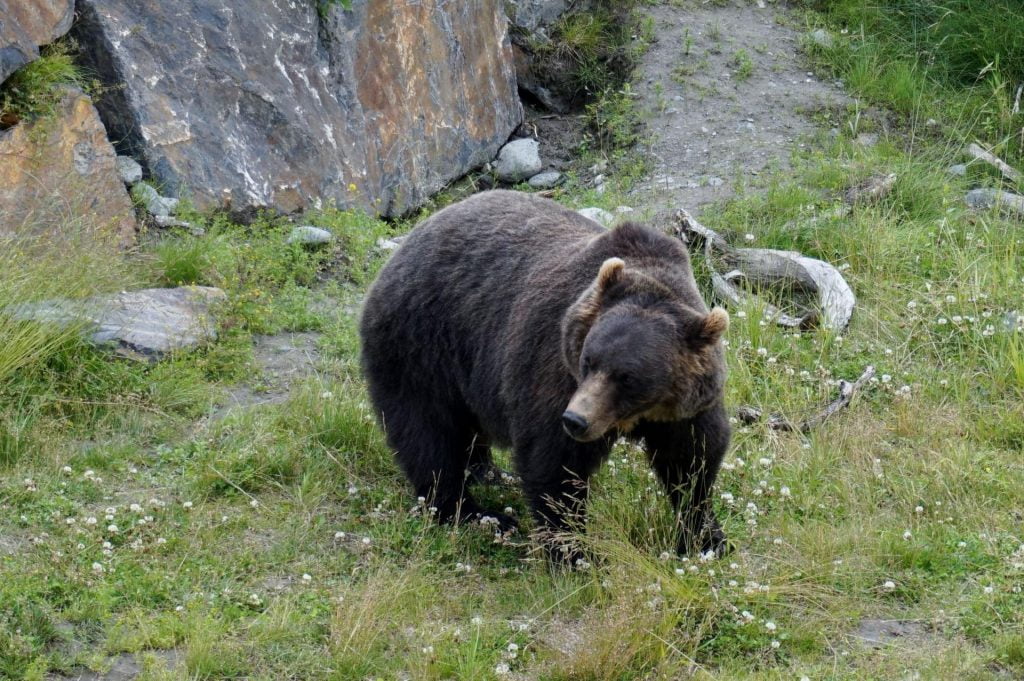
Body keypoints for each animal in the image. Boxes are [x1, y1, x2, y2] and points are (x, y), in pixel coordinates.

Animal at [360, 189, 729, 557]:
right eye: (589, 361)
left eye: (628, 377)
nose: (576, 420)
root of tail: (403, 248)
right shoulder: (553, 369)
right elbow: (554, 464)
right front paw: (573, 552)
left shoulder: (683, 407)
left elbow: (691, 460)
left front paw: (706, 537)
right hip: (421, 345)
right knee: (429, 433)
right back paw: (473, 512)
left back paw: (487, 473)